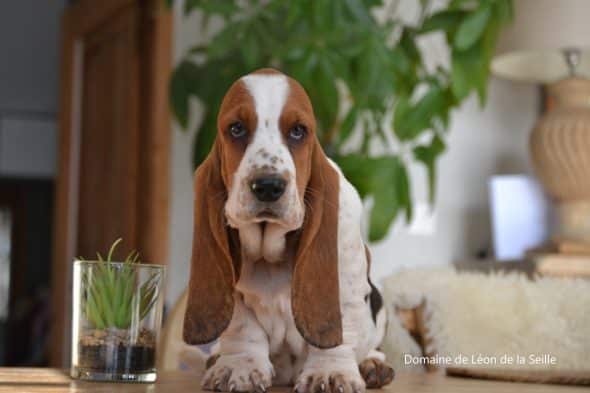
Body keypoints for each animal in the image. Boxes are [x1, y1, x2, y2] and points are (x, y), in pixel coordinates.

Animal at [184, 68, 398, 392]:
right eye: (236, 129)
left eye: (298, 131)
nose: (268, 186)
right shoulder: (235, 298)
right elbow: (242, 328)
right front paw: (239, 368)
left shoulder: (344, 283)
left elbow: (338, 332)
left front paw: (329, 373)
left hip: (379, 304)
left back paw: (373, 365)